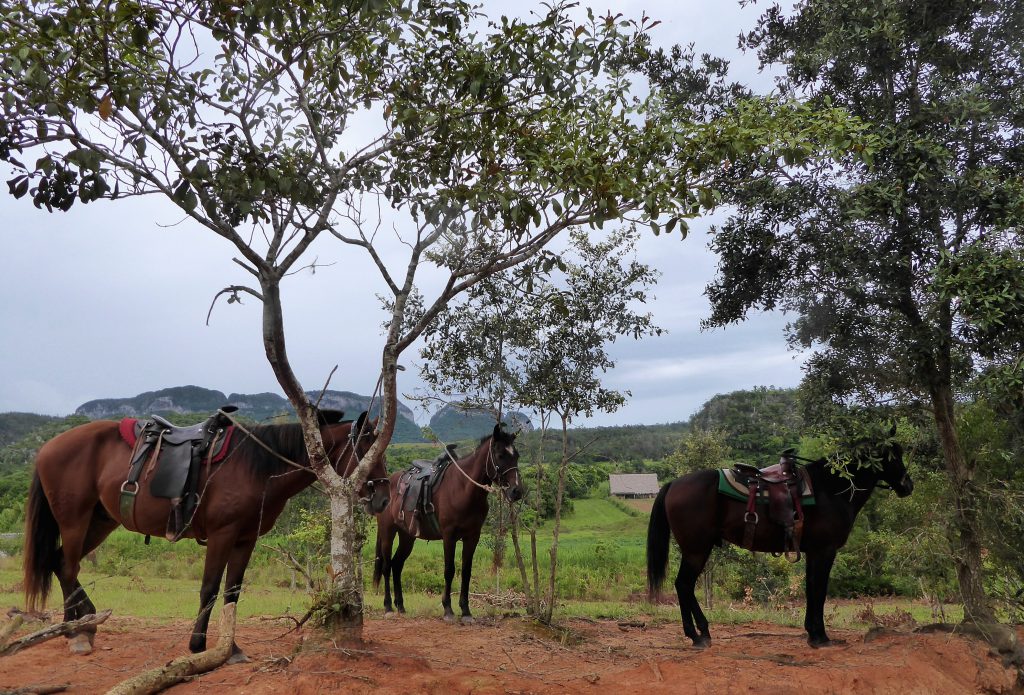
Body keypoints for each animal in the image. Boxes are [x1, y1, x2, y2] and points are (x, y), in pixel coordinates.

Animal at [20, 407, 387, 659]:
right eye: (366, 450)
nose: (382, 497)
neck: (257, 467)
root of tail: (49, 447)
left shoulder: (245, 539)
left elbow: (232, 591)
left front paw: (231, 647)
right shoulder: (222, 534)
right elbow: (210, 588)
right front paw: (198, 644)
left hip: (100, 522)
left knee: (60, 564)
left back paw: (80, 625)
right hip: (74, 521)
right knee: (68, 567)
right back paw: (76, 633)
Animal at [372, 423, 524, 626]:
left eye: (516, 456)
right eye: (500, 455)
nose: (517, 491)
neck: (463, 489)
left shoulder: (472, 536)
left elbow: (466, 571)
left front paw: (466, 611)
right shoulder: (449, 536)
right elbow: (449, 570)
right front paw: (448, 609)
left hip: (407, 536)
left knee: (397, 565)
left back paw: (401, 606)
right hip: (388, 532)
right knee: (387, 566)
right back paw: (388, 607)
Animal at [647, 438, 913, 650]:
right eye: (894, 455)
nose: (908, 485)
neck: (830, 489)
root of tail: (673, 484)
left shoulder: (813, 552)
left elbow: (811, 589)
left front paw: (812, 633)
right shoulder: (824, 551)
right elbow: (820, 590)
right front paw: (821, 637)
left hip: (697, 550)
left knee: (685, 586)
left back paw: (702, 632)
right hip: (696, 550)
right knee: (684, 585)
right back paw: (696, 635)